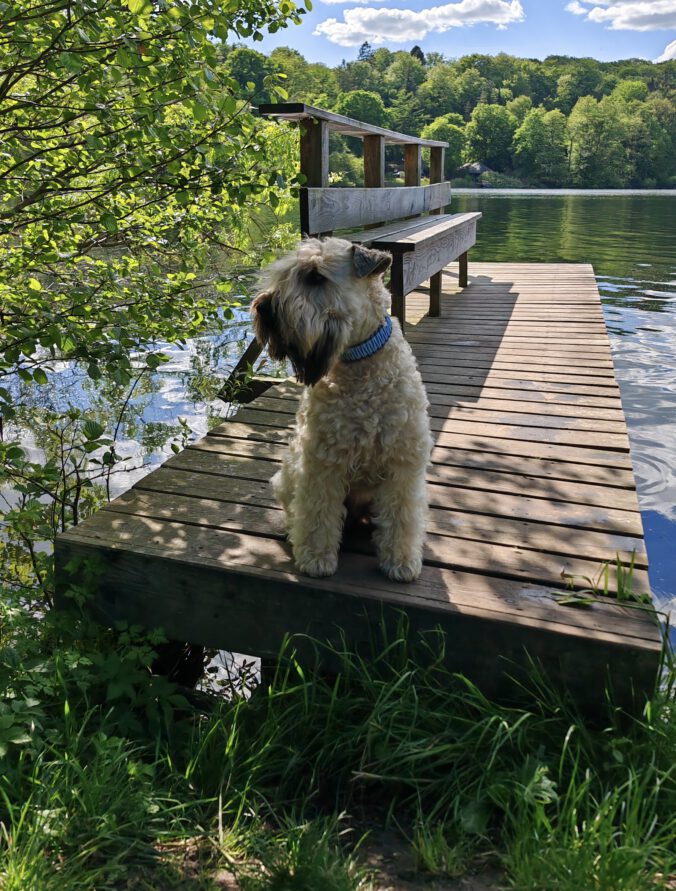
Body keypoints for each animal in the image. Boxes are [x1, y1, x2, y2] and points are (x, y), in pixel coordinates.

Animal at [251, 237, 432, 582]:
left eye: (315, 276)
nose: (264, 307)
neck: (359, 364)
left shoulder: (403, 463)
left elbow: (402, 516)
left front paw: (401, 561)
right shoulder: (322, 462)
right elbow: (318, 514)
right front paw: (315, 558)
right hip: (288, 474)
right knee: (295, 508)